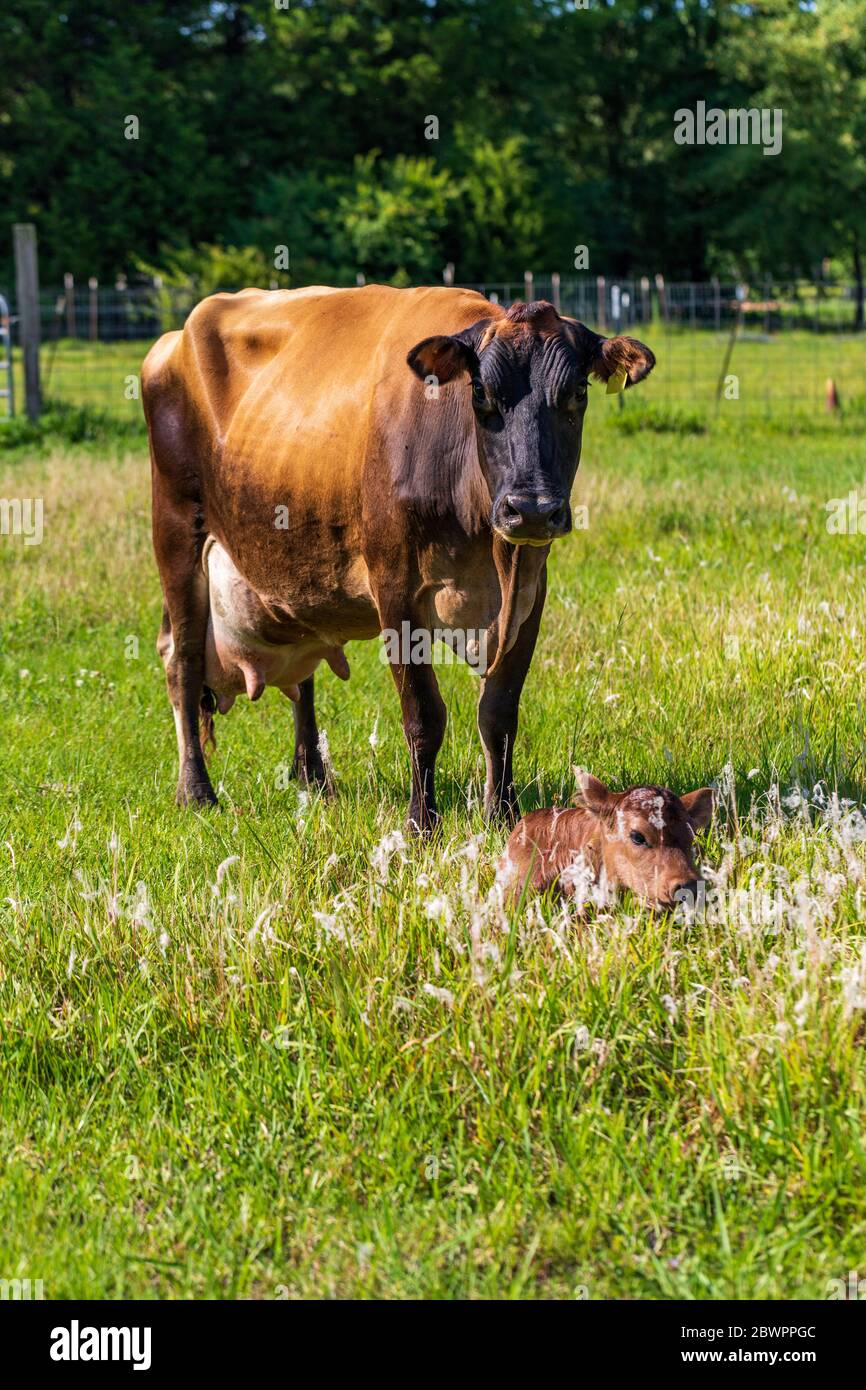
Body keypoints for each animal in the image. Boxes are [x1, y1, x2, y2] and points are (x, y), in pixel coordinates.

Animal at [142, 286, 655, 832]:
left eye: (578, 392)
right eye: (480, 394)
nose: (532, 508)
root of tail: (177, 335)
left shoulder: (529, 591)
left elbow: (499, 713)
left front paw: (504, 816)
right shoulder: (394, 589)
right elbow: (423, 716)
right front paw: (421, 823)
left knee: (302, 677)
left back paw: (314, 777)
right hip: (176, 532)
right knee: (183, 661)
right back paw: (196, 791)